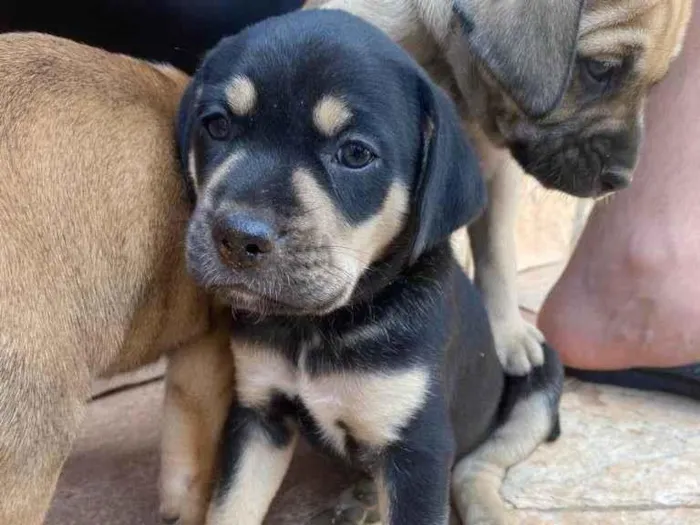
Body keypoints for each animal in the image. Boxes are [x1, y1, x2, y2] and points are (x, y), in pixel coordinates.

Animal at [175, 9, 564, 524]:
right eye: (217, 125)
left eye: (356, 154)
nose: (238, 238)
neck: (317, 327)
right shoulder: (258, 414)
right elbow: (230, 508)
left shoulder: (418, 451)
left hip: (539, 379)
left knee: (476, 466)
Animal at [308, 0, 692, 376]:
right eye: (600, 69)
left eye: (655, 86)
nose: (621, 179)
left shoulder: (496, 176)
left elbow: (498, 254)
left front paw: (506, 333)